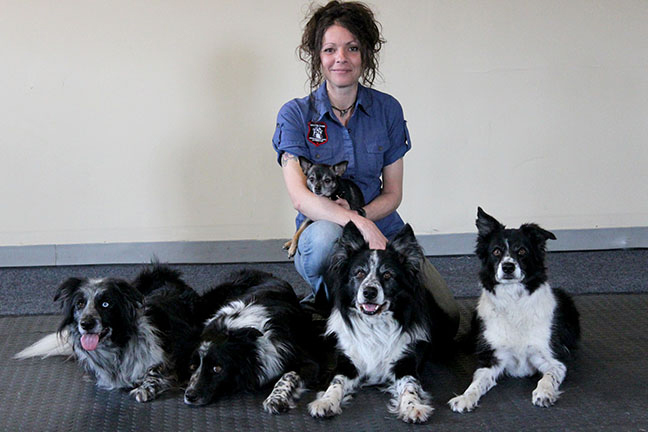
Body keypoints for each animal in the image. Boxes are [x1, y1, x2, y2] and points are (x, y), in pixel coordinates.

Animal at [448, 208, 580, 414]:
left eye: (522, 251)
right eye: (496, 251)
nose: (508, 266)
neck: (514, 302)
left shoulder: (552, 360)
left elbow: (548, 377)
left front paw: (544, 393)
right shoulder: (492, 360)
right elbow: (476, 383)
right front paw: (465, 398)